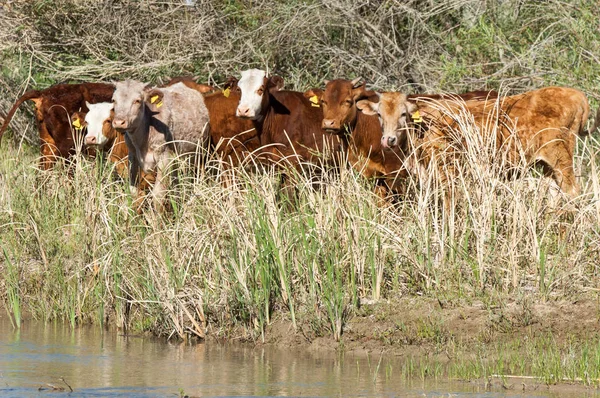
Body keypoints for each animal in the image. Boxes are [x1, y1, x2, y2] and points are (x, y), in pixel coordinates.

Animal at [112, 79, 211, 207]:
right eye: (114, 100)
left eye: (137, 100)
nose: (119, 122)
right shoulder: (132, 155)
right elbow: (133, 191)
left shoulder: (164, 157)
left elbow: (158, 195)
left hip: (199, 150)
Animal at [356, 88, 596, 198]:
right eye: (379, 115)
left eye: (404, 114)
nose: (389, 139)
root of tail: (576, 94)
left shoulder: (449, 170)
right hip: (547, 165)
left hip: (561, 157)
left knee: (573, 191)